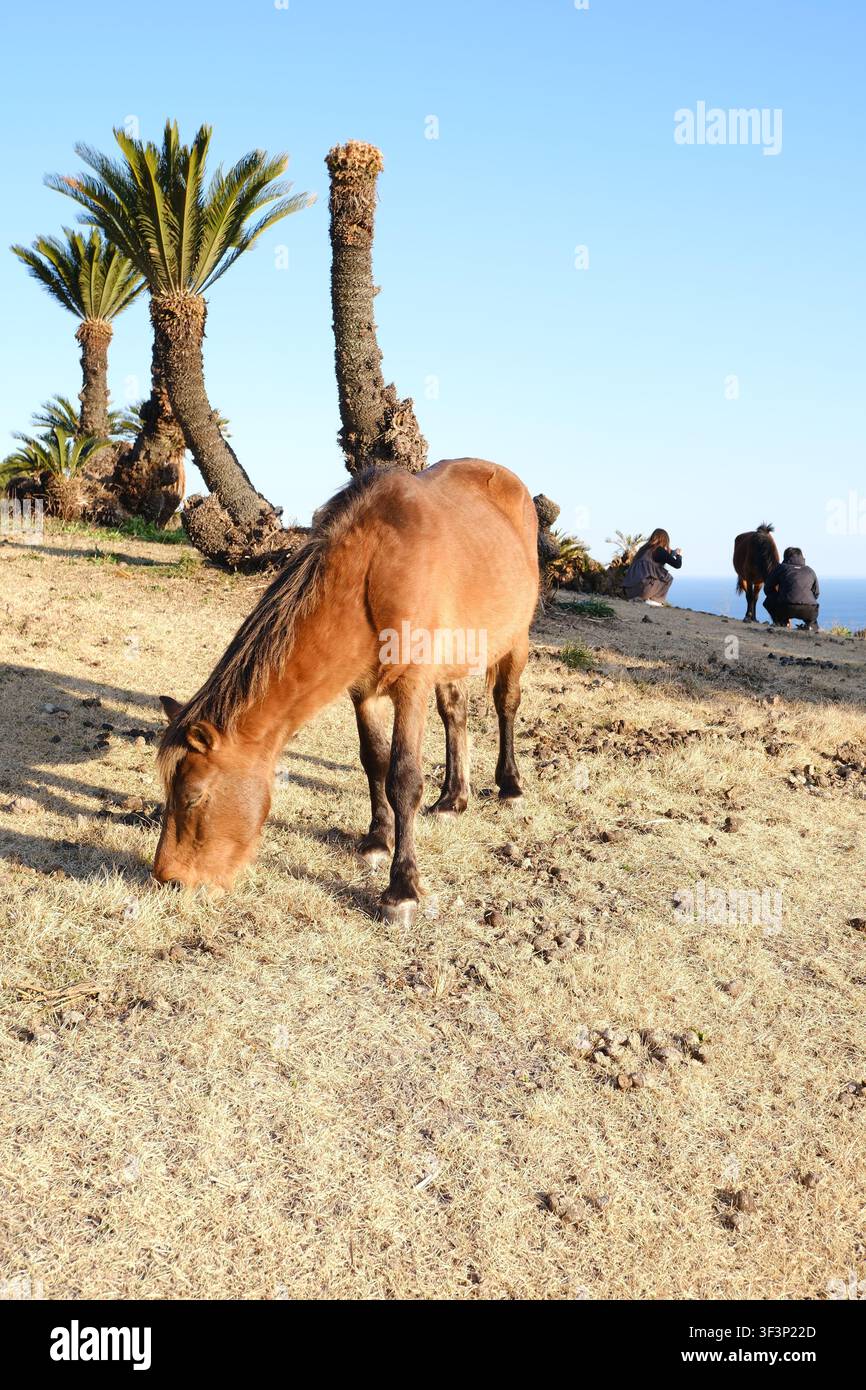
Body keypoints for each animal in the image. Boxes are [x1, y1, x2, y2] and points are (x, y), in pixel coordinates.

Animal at [154, 458, 539, 924]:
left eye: (193, 797)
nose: (168, 878)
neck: (375, 571)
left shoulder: (411, 688)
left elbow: (403, 779)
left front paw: (401, 889)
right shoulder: (364, 692)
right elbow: (374, 762)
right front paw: (377, 840)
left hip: (516, 640)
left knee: (506, 704)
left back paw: (510, 786)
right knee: (455, 713)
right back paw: (452, 798)